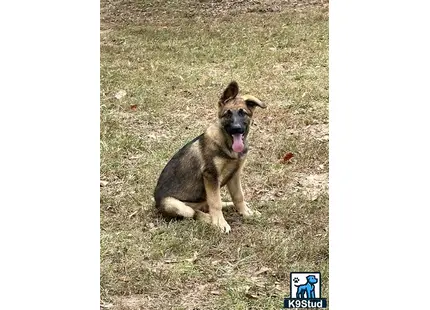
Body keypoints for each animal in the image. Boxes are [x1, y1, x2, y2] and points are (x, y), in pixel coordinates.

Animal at [155, 81, 266, 232]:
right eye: (227, 114)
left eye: (243, 113)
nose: (237, 129)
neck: (228, 146)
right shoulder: (210, 176)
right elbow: (215, 202)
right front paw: (220, 223)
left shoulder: (234, 174)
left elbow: (238, 196)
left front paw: (245, 212)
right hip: (174, 204)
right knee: (194, 213)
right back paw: (211, 219)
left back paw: (228, 205)